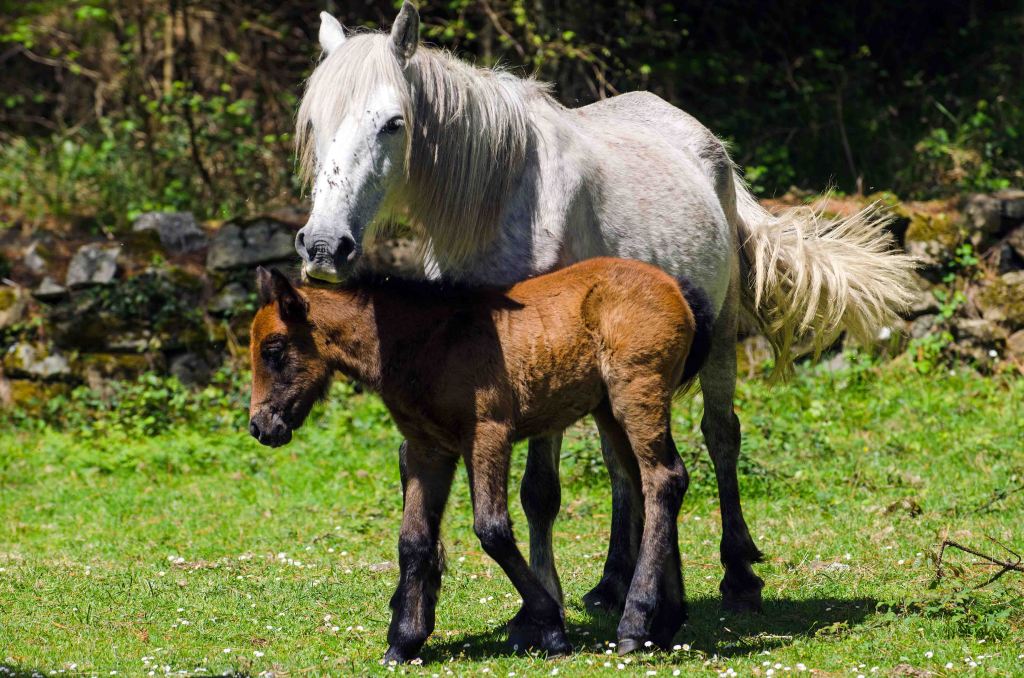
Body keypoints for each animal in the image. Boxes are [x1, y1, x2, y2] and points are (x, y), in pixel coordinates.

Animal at [248, 258, 715, 661]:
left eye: (274, 349)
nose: (261, 427)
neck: (429, 343)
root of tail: (677, 287)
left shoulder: (489, 434)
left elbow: (492, 529)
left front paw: (550, 628)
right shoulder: (428, 450)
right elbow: (413, 539)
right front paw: (404, 641)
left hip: (637, 394)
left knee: (663, 478)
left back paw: (634, 625)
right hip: (610, 411)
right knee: (650, 484)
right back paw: (664, 623)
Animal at [292, 1, 917, 623]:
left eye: (393, 123)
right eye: (314, 124)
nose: (324, 247)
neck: (504, 199)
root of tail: (706, 144)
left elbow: (539, 491)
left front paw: (538, 608)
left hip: (715, 339)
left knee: (720, 436)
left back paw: (737, 575)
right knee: (627, 467)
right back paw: (617, 582)